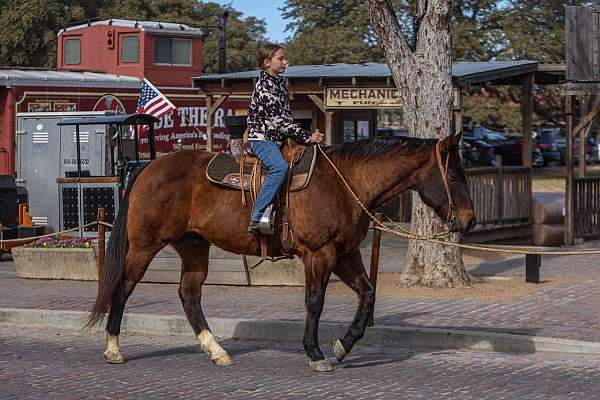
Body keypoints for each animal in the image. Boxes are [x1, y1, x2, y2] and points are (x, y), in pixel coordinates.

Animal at [86, 133, 476, 374]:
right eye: (455, 174)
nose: (469, 220)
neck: (346, 183)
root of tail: (147, 167)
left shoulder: (345, 254)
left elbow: (367, 293)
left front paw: (343, 345)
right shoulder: (319, 254)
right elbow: (314, 302)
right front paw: (315, 353)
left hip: (194, 246)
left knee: (189, 294)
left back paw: (217, 351)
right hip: (144, 247)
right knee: (123, 287)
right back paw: (113, 348)